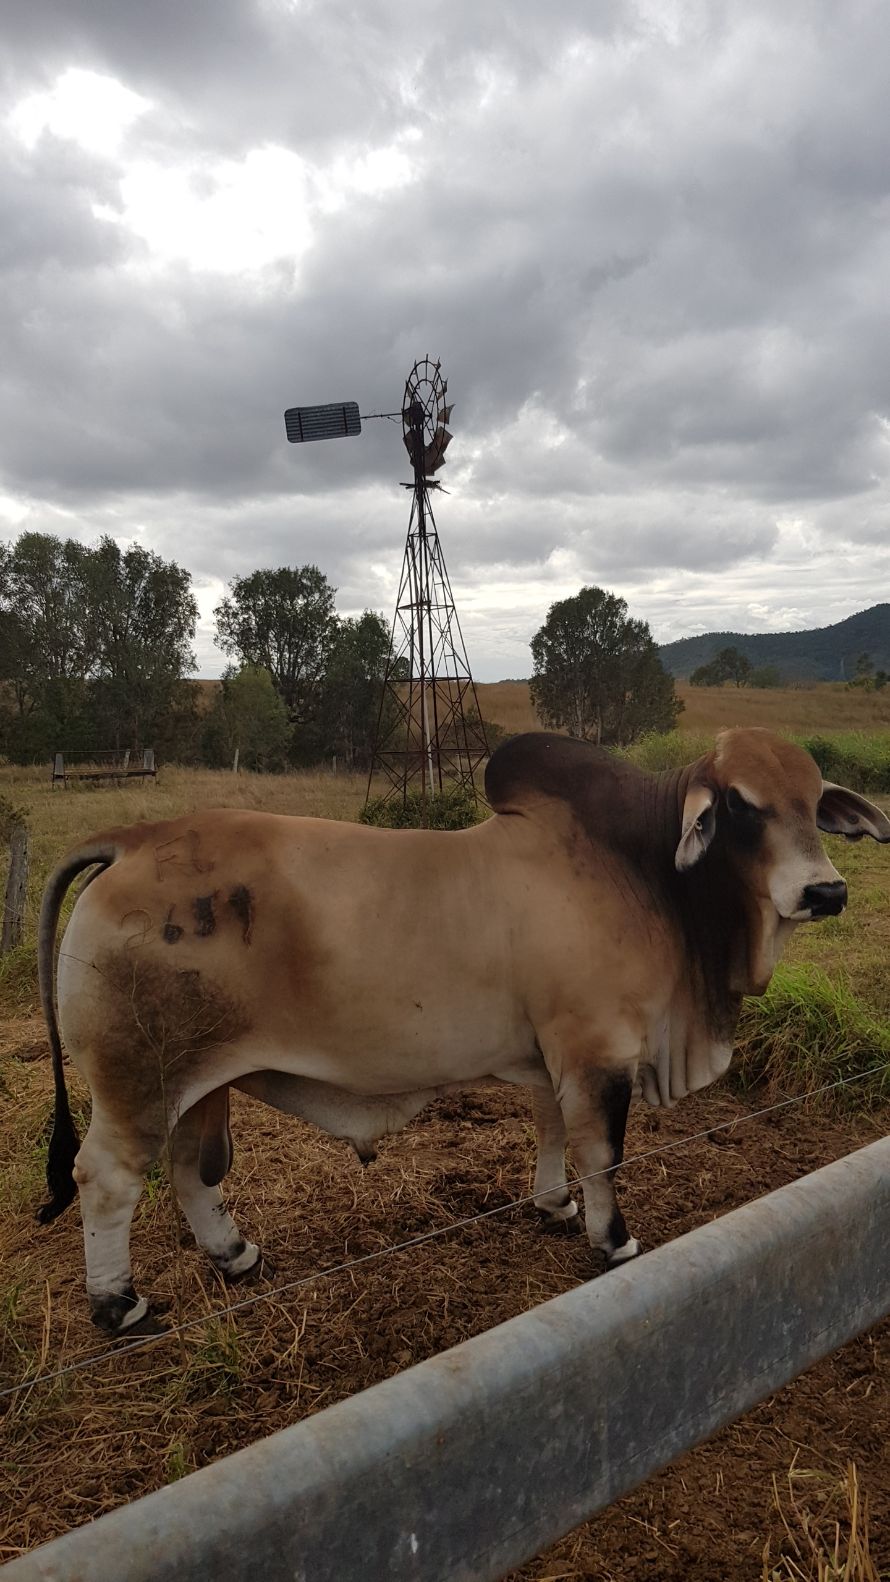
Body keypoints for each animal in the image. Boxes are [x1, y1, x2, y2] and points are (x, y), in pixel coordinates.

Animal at [36, 727, 890, 1335]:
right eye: (741, 806)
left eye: (815, 802)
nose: (826, 891)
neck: (644, 872)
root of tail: (135, 837)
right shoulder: (600, 1051)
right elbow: (603, 1154)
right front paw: (611, 1239)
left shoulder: (556, 1056)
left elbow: (553, 1131)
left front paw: (555, 1205)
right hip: (139, 1082)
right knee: (106, 1177)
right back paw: (119, 1304)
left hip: (198, 1080)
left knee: (190, 1171)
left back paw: (235, 1254)